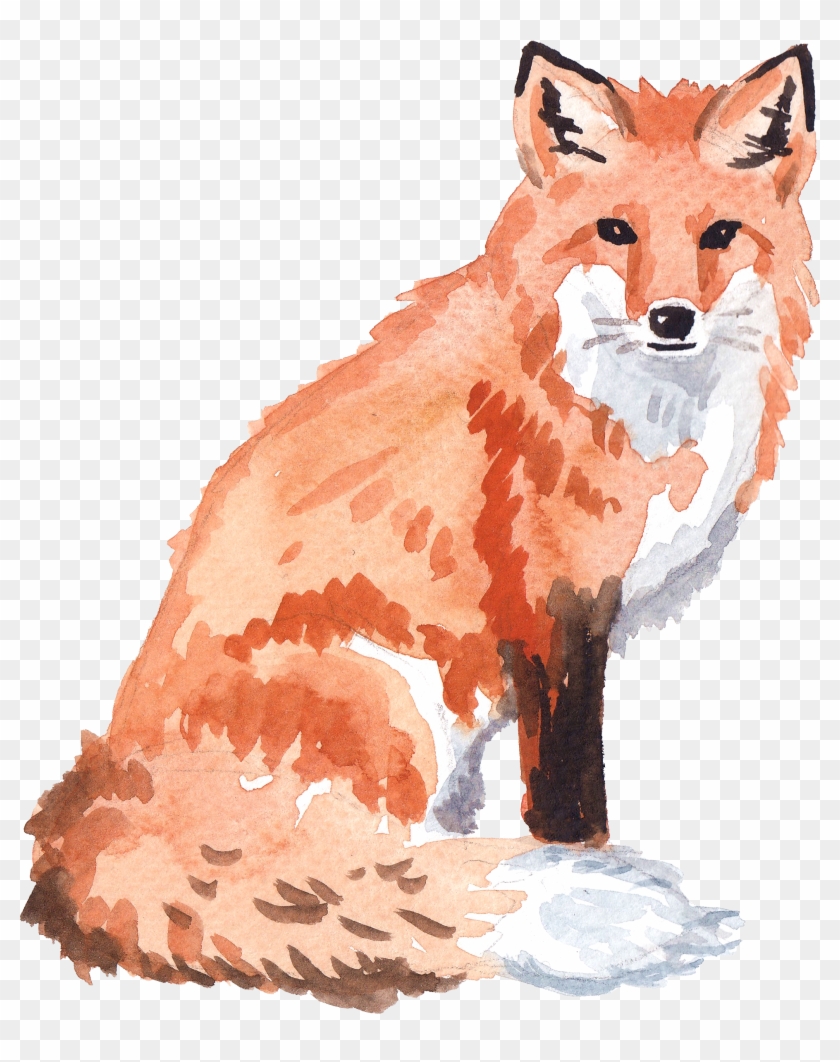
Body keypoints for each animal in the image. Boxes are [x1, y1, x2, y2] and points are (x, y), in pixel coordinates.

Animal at [22, 42, 817, 1011]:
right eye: (615, 232)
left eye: (720, 235)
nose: (671, 319)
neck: (640, 405)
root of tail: (105, 792)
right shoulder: (553, 598)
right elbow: (567, 784)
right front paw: (582, 862)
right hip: (395, 694)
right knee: (364, 863)